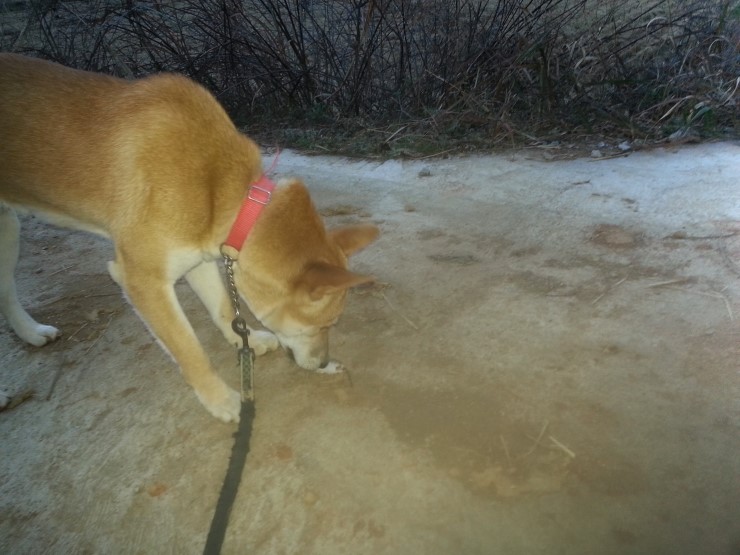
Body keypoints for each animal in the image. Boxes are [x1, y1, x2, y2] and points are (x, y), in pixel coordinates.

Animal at [0, 55, 378, 422]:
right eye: (325, 324)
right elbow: (190, 350)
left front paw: (247, 340)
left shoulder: (197, 255)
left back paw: (31, 333)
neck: (220, 187)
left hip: (9, 229)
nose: (323, 363)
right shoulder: (143, 282)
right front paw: (221, 399)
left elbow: (224, 307)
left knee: (6, 292)